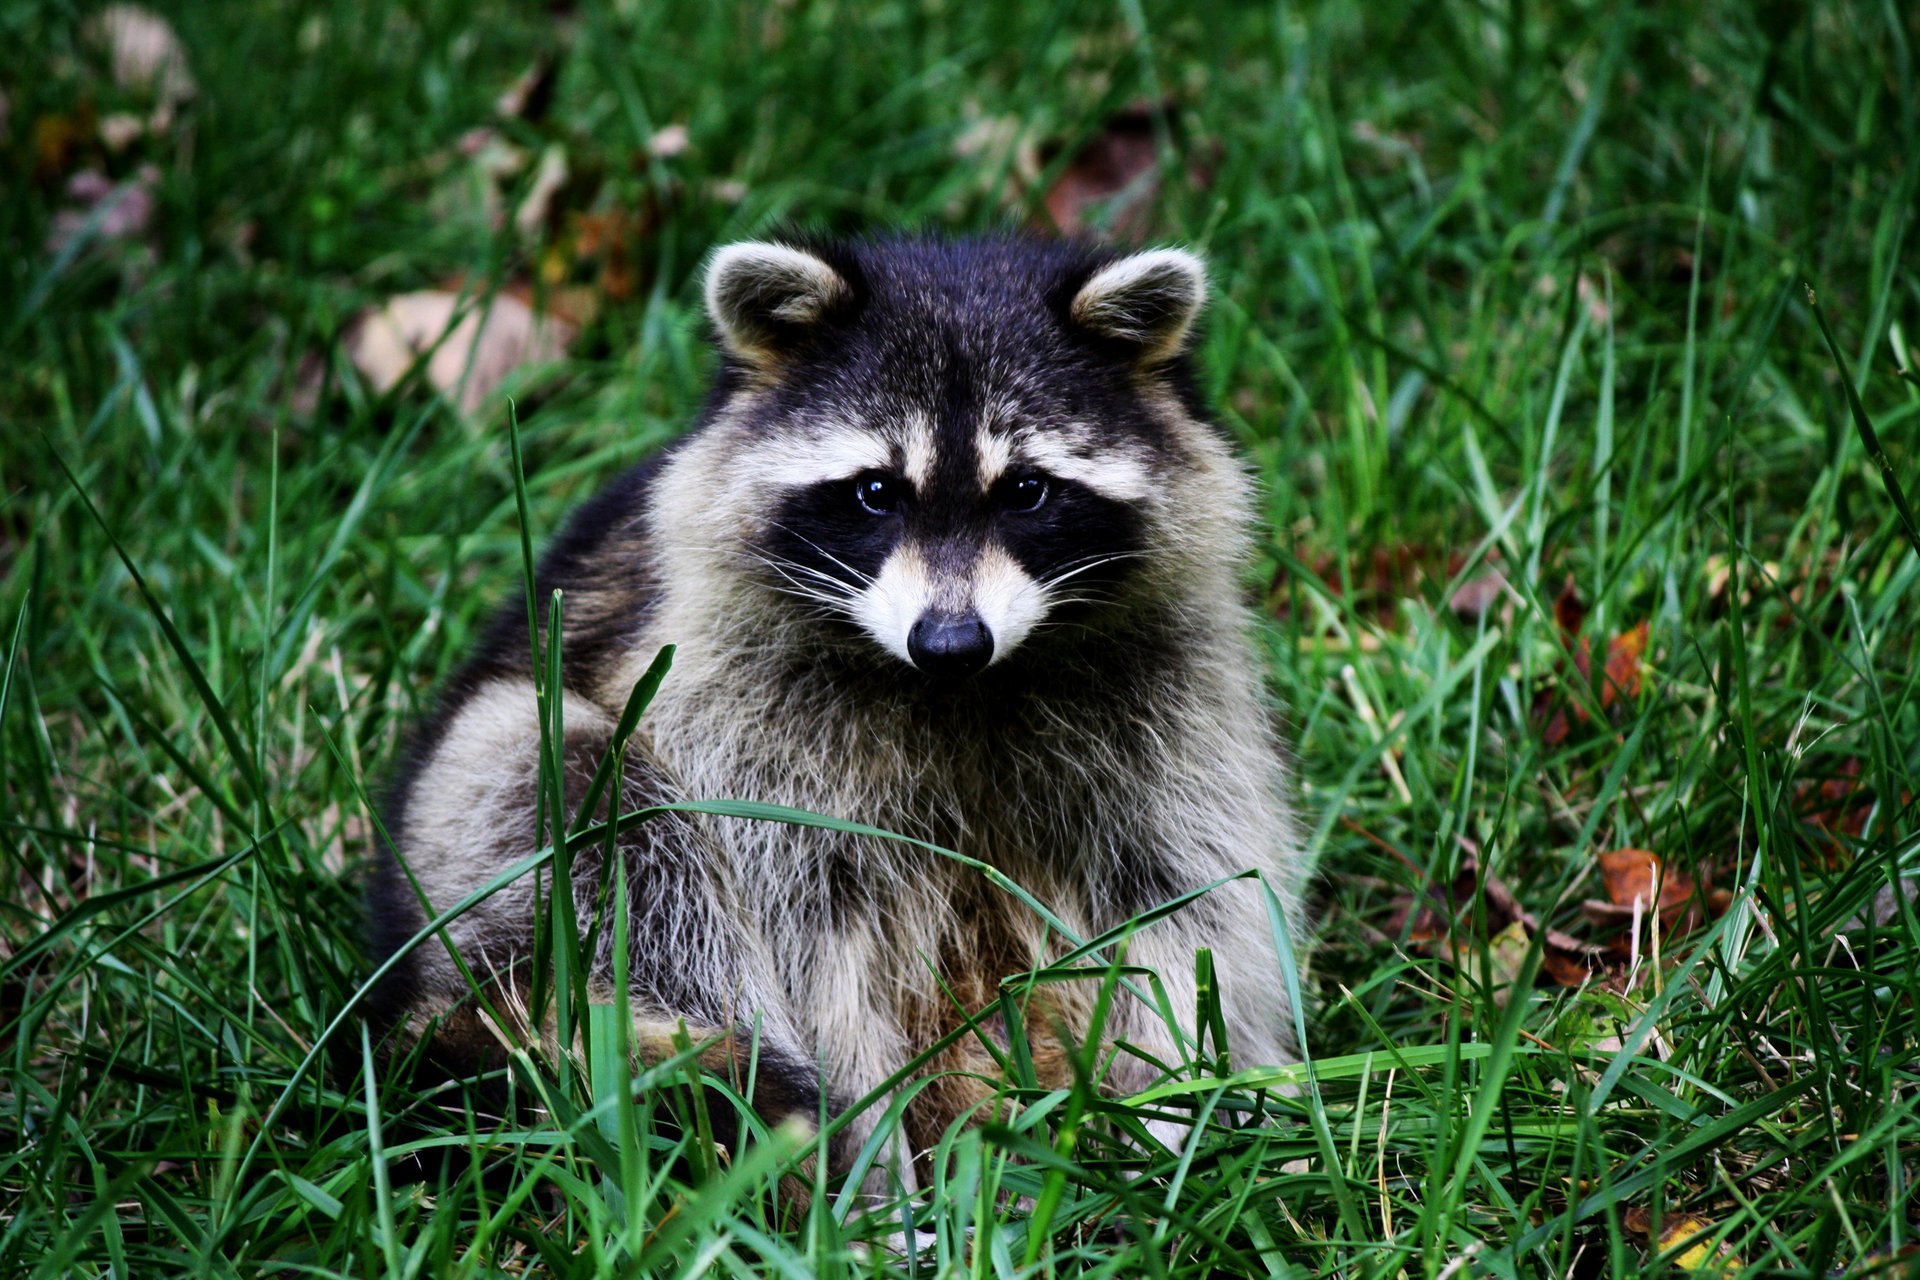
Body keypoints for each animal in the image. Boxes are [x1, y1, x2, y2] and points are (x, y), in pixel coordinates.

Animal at [362, 235, 1305, 1189]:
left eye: (1027, 491)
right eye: (877, 492)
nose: (951, 641)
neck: (960, 691)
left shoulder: (1167, 708)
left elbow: (1184, 908)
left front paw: (1180, 1116)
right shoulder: (746, 723)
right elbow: (811, 949)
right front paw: (870, 1175)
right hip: (475, 820)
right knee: (595, 805)